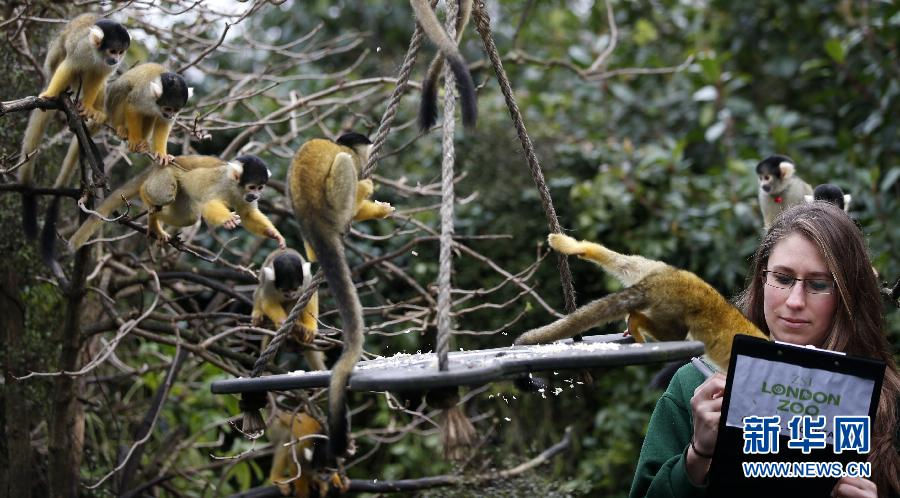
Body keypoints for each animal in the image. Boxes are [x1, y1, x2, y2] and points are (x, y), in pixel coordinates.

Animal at [18, 13, 130, 239]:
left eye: (121, 52)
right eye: (113, 50)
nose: (116, 60)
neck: (97, 53)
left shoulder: (105, 66)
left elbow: (98, 77)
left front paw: (87, 107)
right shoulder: (82, 49)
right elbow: (69, 66)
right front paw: (49, 94)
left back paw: (94, 112)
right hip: (53, 63)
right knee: (60, 58)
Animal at [67, 155, 284, 249]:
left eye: (260, 187)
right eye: (252, 186)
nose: (255, 196)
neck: (236, 188)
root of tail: (157, 166)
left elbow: (247, 214)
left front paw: (273, 234)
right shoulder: (223, 183)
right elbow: (209, 204)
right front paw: (228, 220)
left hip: (182, 193)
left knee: (189, 217)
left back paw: (154, 218)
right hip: (166, 175)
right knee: (164, 196)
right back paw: (147, 200)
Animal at [512, 233, 768, 370]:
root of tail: (660, 282)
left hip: (653, 269)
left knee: (628, 263)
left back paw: (576, 246)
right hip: (671, 309)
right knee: (674, 334)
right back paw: (635, 322)